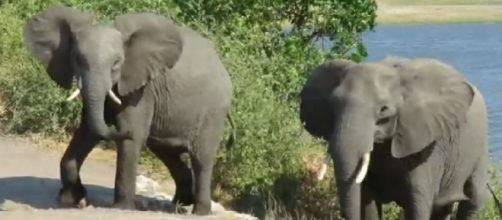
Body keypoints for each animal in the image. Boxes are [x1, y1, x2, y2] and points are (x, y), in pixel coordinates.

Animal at [24, 5, 232, 215]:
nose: (113, 125)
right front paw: (74, 201)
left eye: (116, 62)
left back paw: (199, 212)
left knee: (201, 158)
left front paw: (122, 208)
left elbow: (133, 137)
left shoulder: (142, 90)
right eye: (77, 59)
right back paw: (179, 205)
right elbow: (88, 131)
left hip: (213, 112)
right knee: (166, 151)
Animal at [300, 57, 488, 220]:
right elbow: (366, 202)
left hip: (479, 150)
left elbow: (417, 205)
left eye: (384, 109)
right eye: (333, 104)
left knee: (473, 199)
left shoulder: (425, 146)